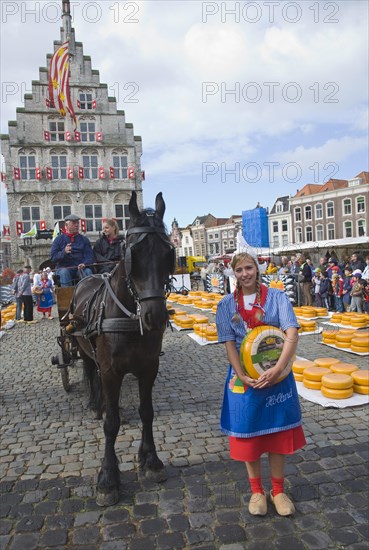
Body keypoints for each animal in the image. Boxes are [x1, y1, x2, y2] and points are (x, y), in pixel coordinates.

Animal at [72, 192, 176, 506]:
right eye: (133, 254)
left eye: (168, 254)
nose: (155, 317)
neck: (129, 317)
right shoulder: (110, 371)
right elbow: (111, 424)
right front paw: (108, 479)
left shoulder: (149, 368)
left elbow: (147, 411)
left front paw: (150, 460)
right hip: (84, 350)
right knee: (89, 372)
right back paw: (95, 403)